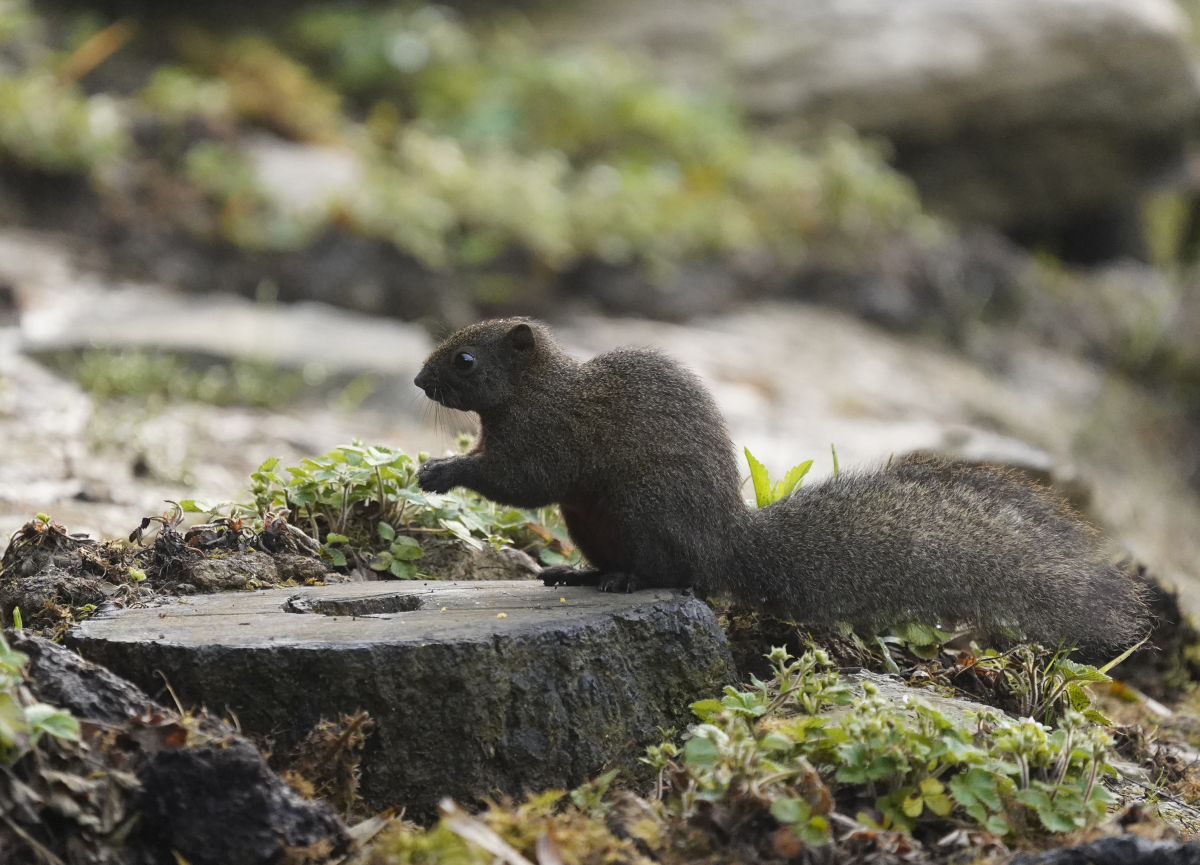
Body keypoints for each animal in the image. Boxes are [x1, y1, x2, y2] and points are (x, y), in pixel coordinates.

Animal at [417, 316, 1147, 647]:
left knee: (676, 573)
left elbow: (523, 479)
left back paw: (625, 579)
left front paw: (442, 470)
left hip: (642, 510)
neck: (537, 389)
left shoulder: (551, 436)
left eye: (465, 357)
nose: (420, 381)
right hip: (592, 521)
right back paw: (582, 572)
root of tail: (726, 541)